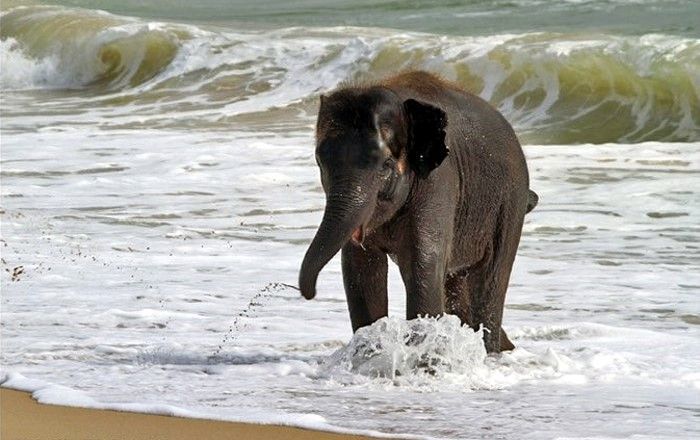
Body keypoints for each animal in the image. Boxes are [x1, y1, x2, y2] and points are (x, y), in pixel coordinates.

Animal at [298, 71, 538, 353]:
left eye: (386, 165)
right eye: (319, 161)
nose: (310, 294)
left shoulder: (438, 179)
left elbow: (423, 262)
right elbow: (360, 268)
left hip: (509, 203)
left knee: (490, 278)